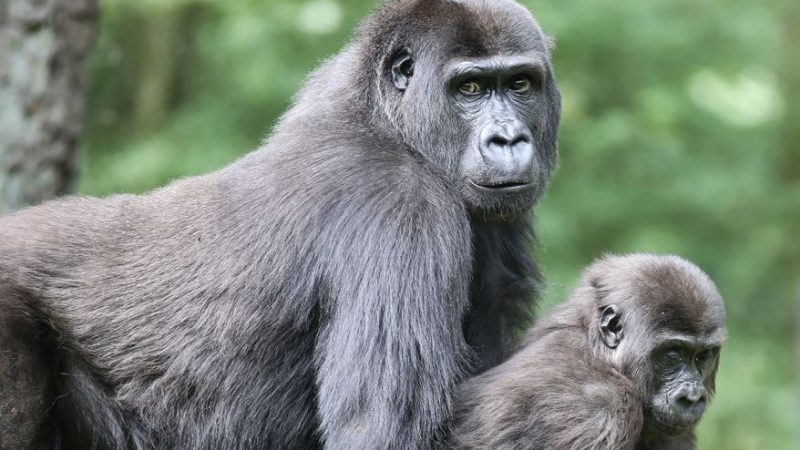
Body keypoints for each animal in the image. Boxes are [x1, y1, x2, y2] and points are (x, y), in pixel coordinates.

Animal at [0, 1, 560, 448]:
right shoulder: (404, 210)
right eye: (470, 88)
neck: (387, 120)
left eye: (520, 84)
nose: (509, 139)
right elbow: (378, 432)